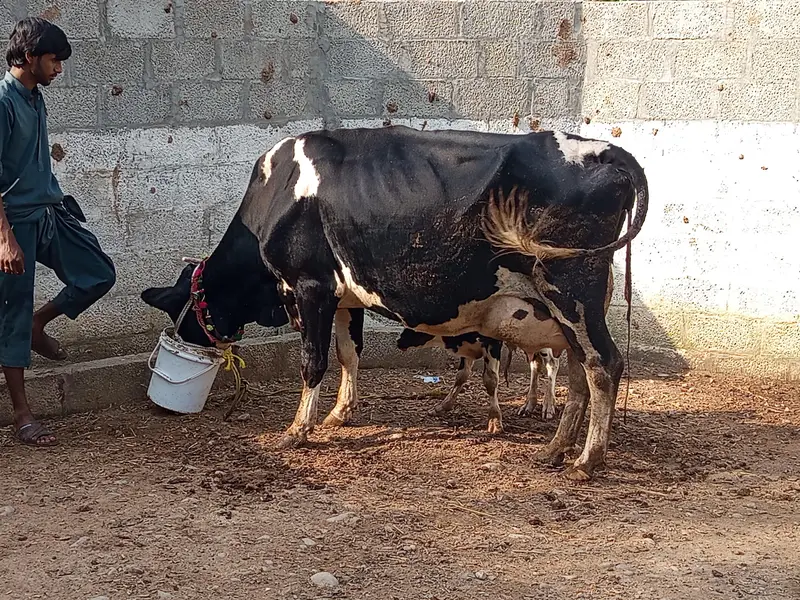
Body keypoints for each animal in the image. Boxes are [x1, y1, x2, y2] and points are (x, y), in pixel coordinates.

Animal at [141, 125, 648, 480]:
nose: (186, 341)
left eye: (181, 313)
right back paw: (555, 450)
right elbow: (348, 354)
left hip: (571, 288)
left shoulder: (310, 287)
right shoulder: (344, 297)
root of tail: (607, 151)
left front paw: (298, 429)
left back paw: (586, 461)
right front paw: (339, 414)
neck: (278, 189)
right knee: (581, 369)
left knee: (603, 364)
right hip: (572, 307)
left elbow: (314, 361)